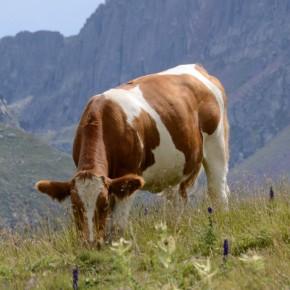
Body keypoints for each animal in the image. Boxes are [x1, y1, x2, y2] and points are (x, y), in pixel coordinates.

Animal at [34, 64, 229, 247]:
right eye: (75, 207)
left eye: (104, 205)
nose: (90, 243)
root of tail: (198, 68)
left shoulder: (126, 180)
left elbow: (117, 228)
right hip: (177, 169)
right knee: (176, 201)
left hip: (216, 145)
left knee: (218, 192)